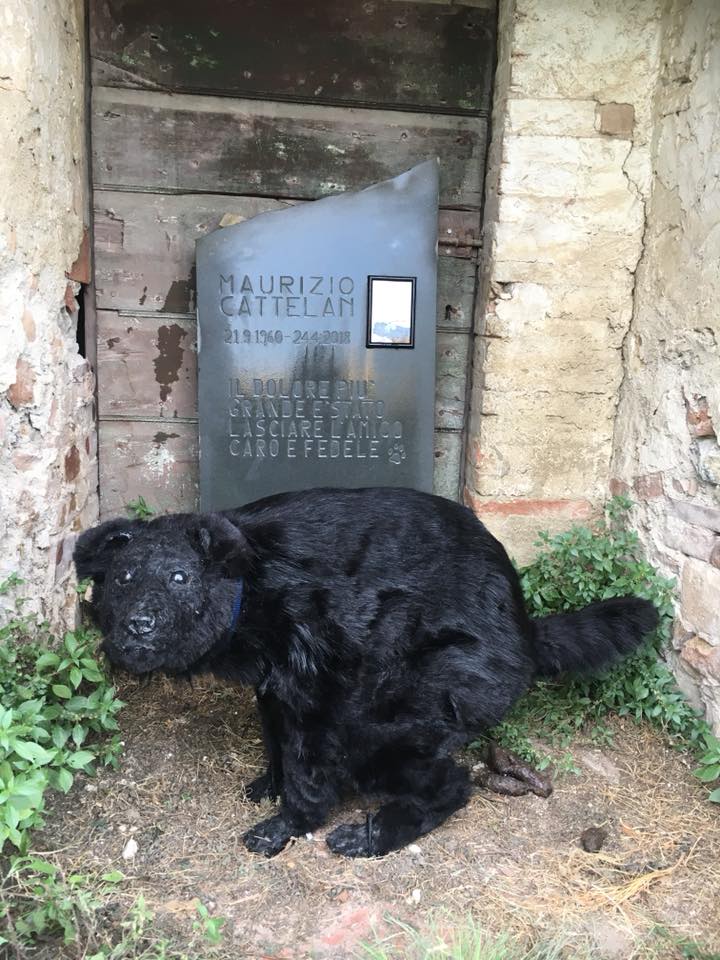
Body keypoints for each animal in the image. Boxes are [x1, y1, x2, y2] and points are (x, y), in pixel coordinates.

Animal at [74, 492, 660, 860]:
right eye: (123, 576)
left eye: (179, 577)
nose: (137, 627)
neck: (252, 588)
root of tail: (527, 632)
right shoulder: (274, 689)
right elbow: (275, 741)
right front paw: (268, 783)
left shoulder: (320, 689)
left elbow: (308, 774)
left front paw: (284, 828)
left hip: (400, 713)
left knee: (452, 783)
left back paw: (368, 836)